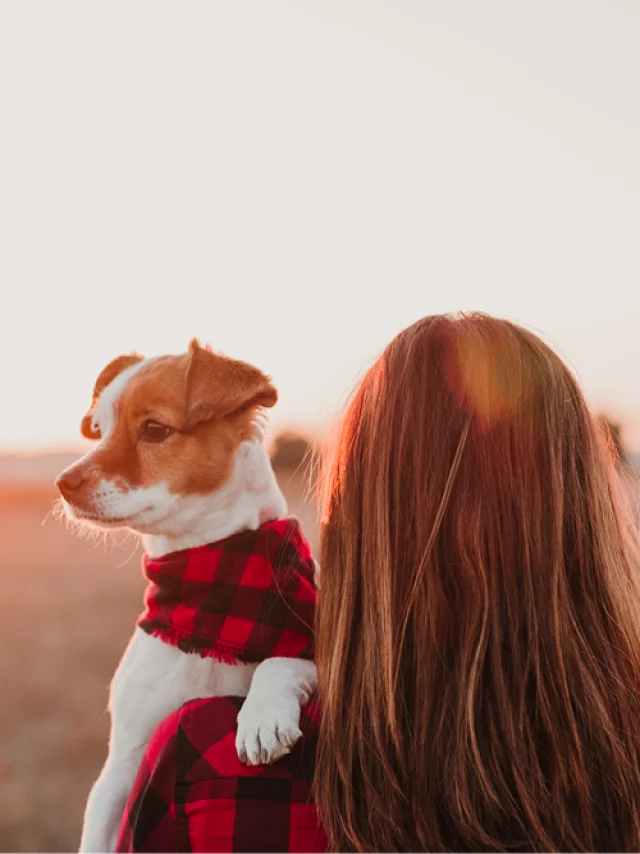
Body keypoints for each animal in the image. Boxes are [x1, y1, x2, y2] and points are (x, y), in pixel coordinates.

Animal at [57, 342, 320, 854]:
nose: (63, 483)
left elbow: (285, 660)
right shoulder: (122, 768)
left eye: (155, 429)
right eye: (99, 429)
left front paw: (262, 715)